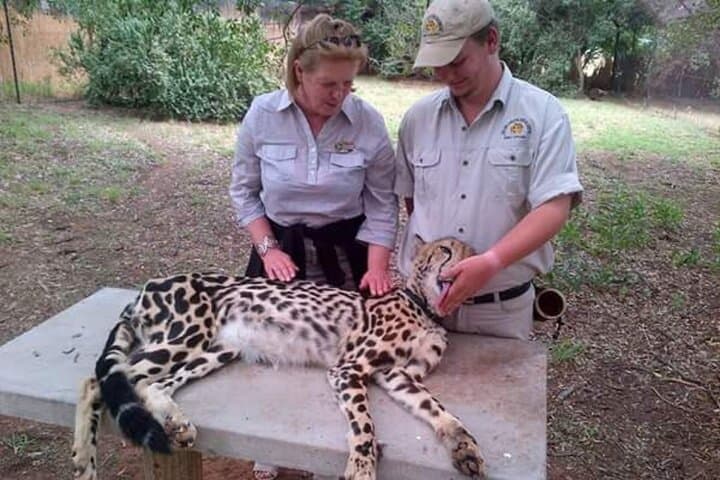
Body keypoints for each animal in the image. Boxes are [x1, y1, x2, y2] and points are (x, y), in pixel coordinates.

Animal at [71, 237, 485, 480]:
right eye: (445, 251)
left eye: (474, 254)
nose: (460, 269)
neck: (425, 308)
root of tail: (146, 287)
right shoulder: (347, 368)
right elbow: (364, 424)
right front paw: (362, 466)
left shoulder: (398, 376)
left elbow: (438, 409)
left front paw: (464, 445)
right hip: (187, 335)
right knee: (100, 380)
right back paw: (83, 459)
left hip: (217, 349)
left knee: (153, 384)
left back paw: (177, 423)